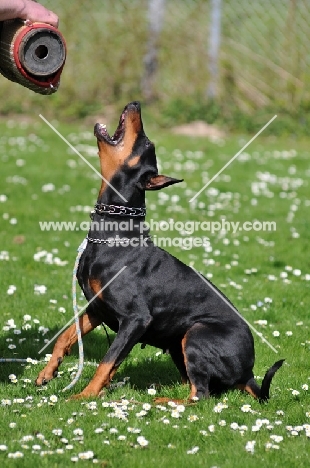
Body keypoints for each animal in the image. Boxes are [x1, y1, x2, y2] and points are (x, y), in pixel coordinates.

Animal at [34, 100, 284, 400]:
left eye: (146, 142)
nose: (135, 103)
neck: (115, 232)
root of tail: (248, 374)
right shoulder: (97, 308)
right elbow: (66, 335)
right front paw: (48, 373)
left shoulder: (135, 318)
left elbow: (108, 359)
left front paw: (85, 396)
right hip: (178, 345)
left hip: (196, 332)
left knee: (200, 395)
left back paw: (162, 401)